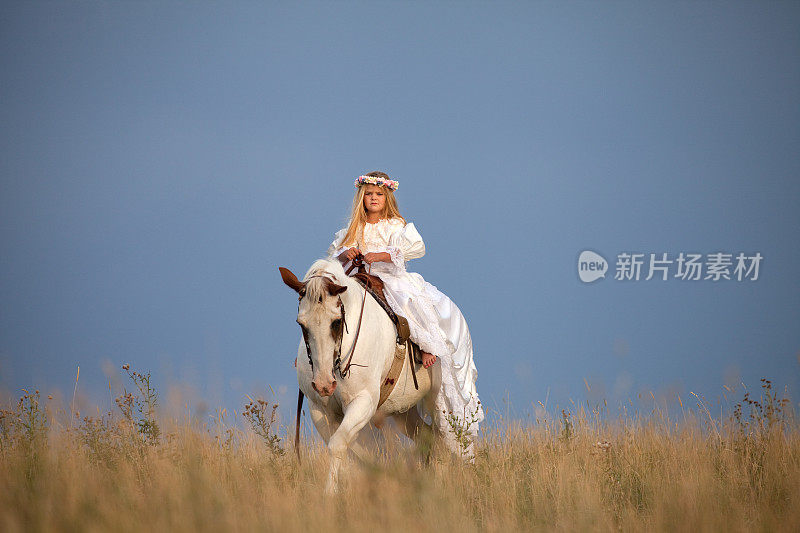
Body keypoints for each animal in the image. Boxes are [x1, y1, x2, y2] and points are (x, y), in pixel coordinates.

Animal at [280, 260, 444, 492]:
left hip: (439, 403)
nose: (323, 384)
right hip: (404, 411)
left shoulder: (363, 402)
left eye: (336, 322)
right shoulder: (319, 409)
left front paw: (330, 493)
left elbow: (338, 444)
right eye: (301, 324)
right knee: (427, 438)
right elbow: (352, 450)